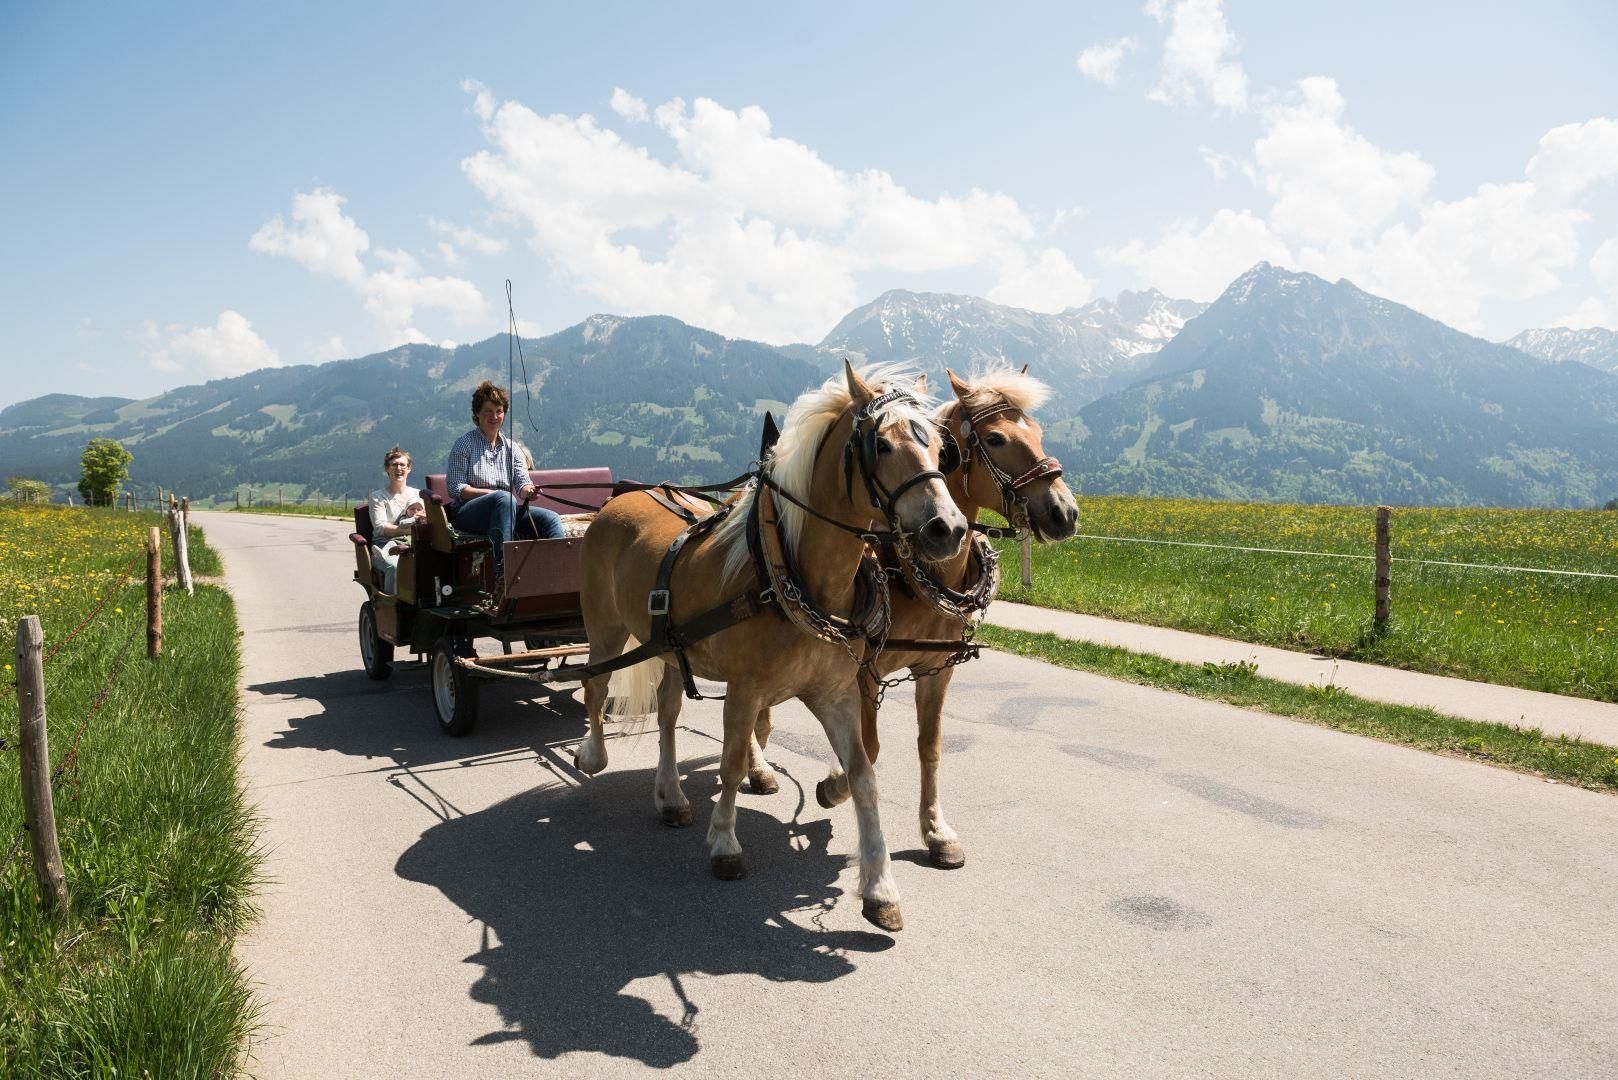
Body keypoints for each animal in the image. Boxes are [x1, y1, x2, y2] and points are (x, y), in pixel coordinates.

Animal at [576, 361, 964, 932]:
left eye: (941, 446)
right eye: (881, 445)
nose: (948, 529)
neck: (790, 572)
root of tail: (623, 496)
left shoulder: (835, 694)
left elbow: (862, 774)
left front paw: (879, 886)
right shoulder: (745, 689)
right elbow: (732, 764)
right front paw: (725, 843)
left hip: (669, 648)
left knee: (667, 713)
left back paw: (671, 796)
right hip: (605, 629)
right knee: (595, 685)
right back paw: (593, 754)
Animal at [750, 365, 1080, 867]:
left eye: (1039, 432)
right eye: (997, 439)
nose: (1065, 512)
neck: (913, 571)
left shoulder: (936, 668)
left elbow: (930, 745)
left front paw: (936, 830)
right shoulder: (865, 670)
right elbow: (869, 748)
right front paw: (833, 786)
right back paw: (756, 764)